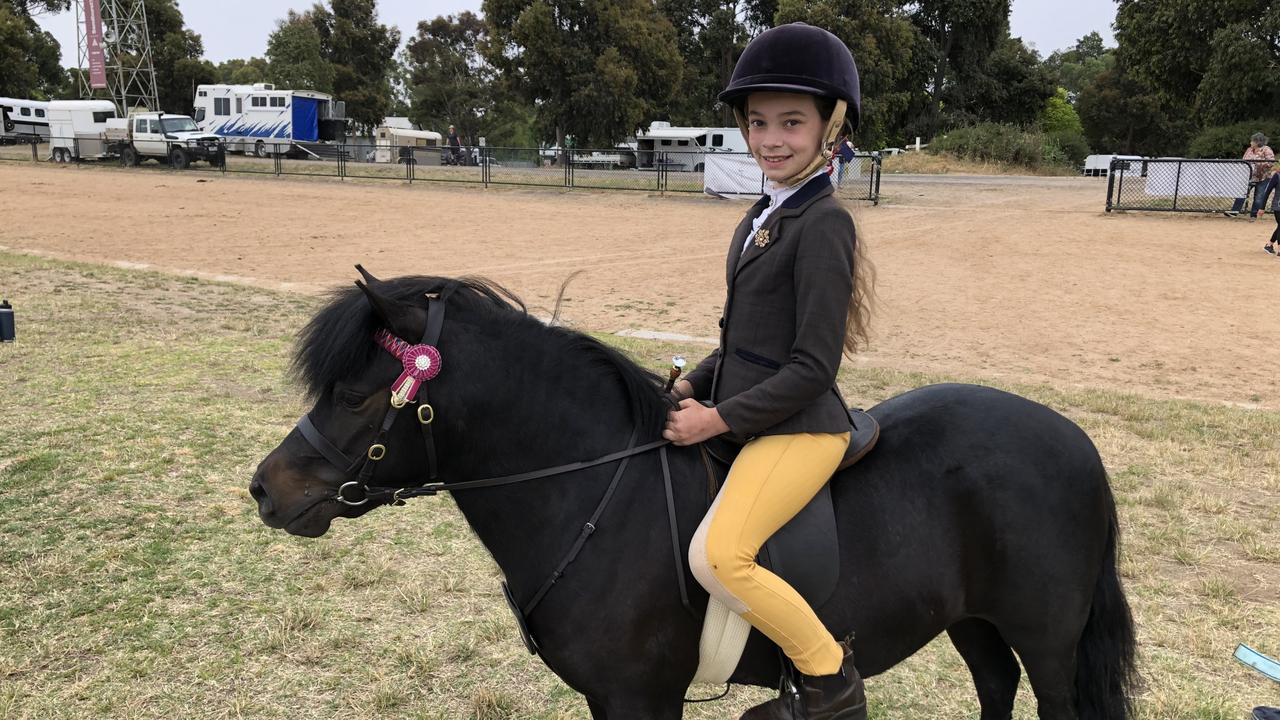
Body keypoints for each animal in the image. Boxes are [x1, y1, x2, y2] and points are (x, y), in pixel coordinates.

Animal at [252, 272, 1141, 717]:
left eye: (358, 394)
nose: (266, 489)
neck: (594, 493)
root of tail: (1077, 443)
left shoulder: (638, 698)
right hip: (974, 620)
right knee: (994, 686)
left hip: (1047, 640)